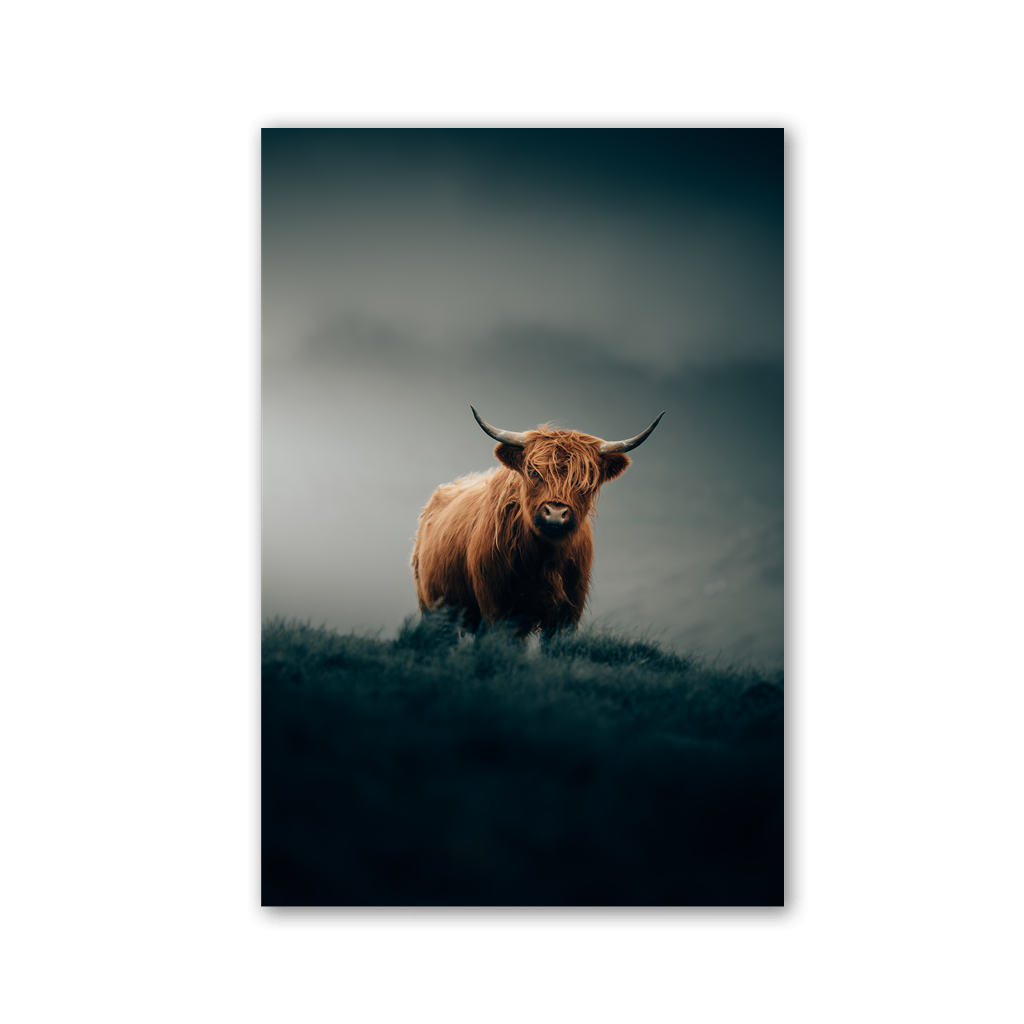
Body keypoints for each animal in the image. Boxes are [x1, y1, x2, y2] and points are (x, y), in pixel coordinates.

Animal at [411, 406, 664, 638]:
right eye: (534, 472)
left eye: (586, 480)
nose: (555, 512)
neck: (544, 560)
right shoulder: (498, 608)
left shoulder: (568, 614)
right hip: (434, 608)